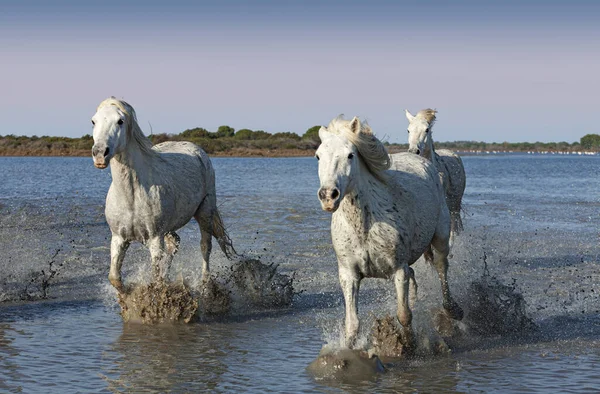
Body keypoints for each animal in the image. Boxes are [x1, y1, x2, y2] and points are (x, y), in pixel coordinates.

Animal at [89, 96, 234, 292]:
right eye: (93, 121)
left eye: (120, 121)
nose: (99, 154)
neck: (131, 196)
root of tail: (196, 149)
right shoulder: (118, 238)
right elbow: (115, 278)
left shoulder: (155, 239)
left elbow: (156, 281)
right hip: (170, 227)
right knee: (175, 243)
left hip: (205, 211)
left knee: (205, 246)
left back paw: (205, 283)